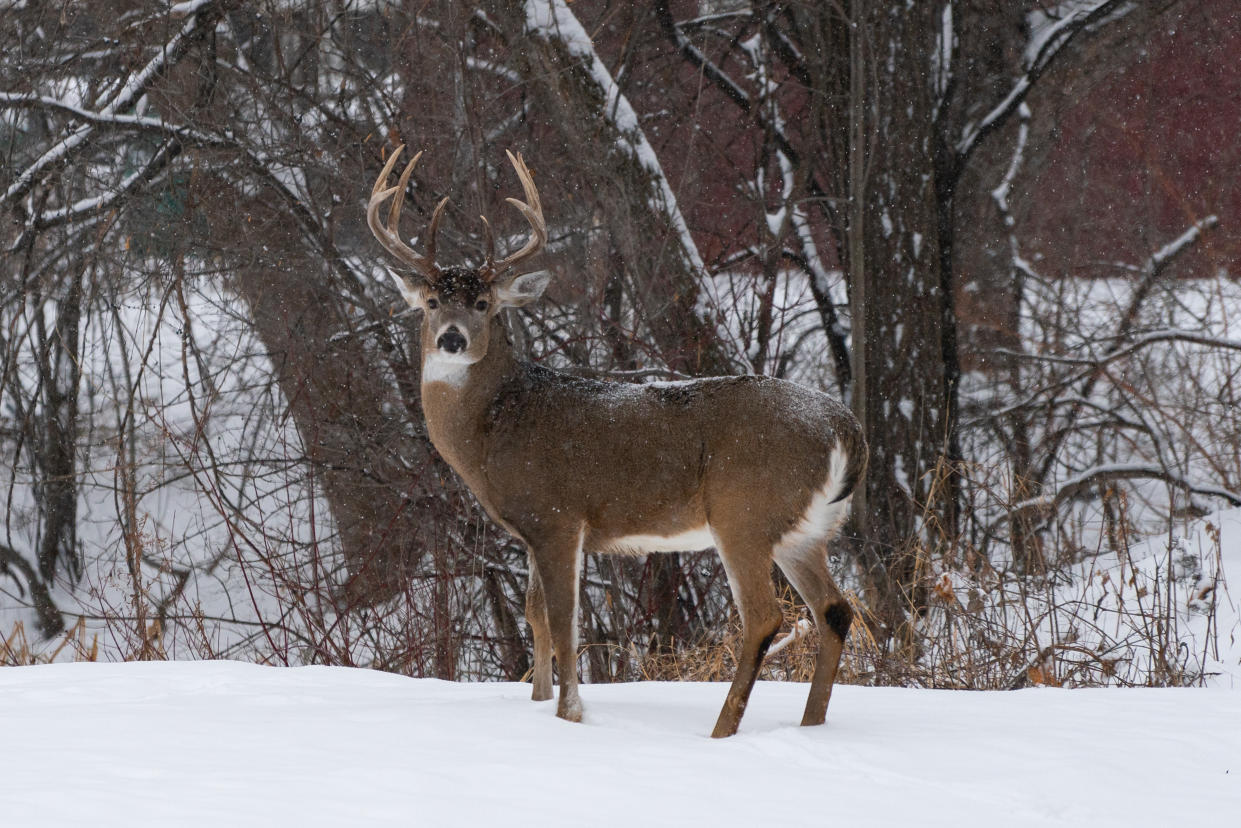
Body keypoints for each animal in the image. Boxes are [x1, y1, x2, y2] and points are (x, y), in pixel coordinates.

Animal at [369, 147, 863, 739]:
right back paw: (810, 726)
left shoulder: (559, 516)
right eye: (431, 301)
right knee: (835, 610)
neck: (496, 426)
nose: (451, 338)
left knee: (766, 617)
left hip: (743, 510)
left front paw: (570, 715)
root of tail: (846, 427)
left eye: (484, 302)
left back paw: (721, 731)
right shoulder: (531, 531)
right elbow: (536, 615)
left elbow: (564, 622)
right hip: (805, 531)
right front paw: (540, 703)